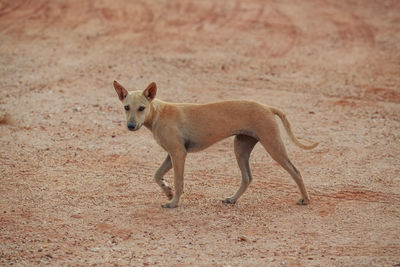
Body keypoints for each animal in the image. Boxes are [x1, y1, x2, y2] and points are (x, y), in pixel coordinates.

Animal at [112, 80, 318, 208]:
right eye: (126, 107)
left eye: (141, 108)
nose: (131, 126)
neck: (157, 113)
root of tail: (267, 107)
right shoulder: (171, 154)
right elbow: (157, 175)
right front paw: (168, 192)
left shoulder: (178, 154)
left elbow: (179, 181)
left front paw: (173, 202)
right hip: (241, 148)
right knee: (247, 177)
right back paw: (232, 199)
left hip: (273, 145)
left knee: (295, 171)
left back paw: (305, 199)